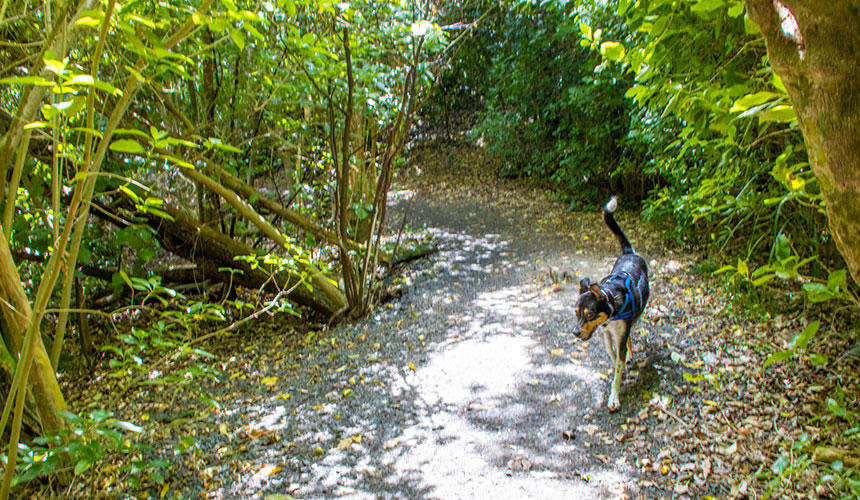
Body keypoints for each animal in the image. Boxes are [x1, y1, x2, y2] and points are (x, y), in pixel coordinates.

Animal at [576, 197, 648, 412]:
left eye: (589, 314)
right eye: (576, 313)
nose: (575, 332)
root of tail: (630, 253)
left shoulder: (619, 334)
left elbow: (618, 367)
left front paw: (614, 397)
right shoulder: (607, 334)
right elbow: (613, 356)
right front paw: (618, 365)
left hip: (636, 317)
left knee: (631, 334)